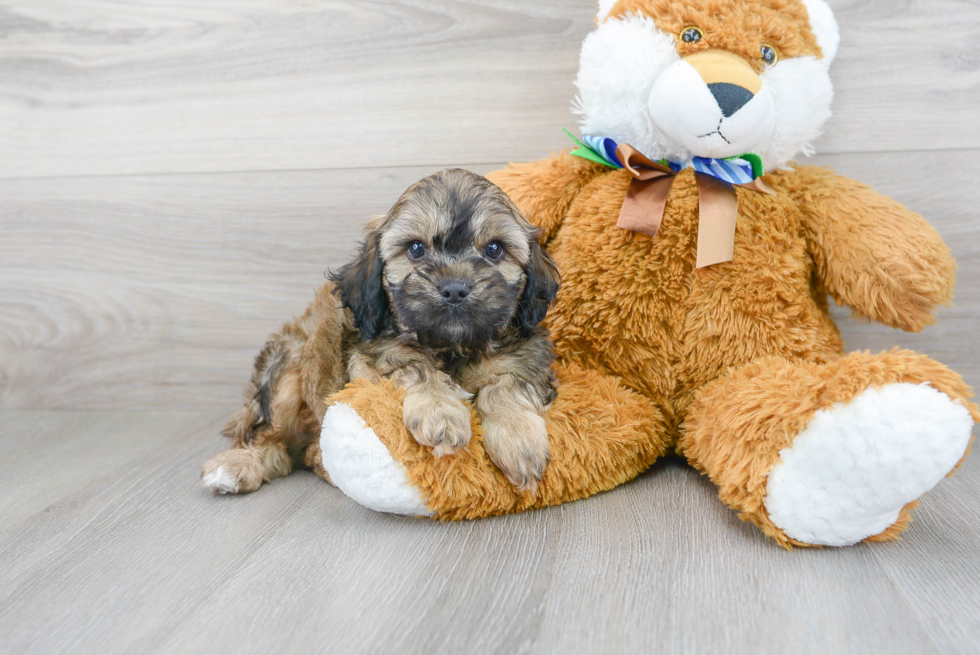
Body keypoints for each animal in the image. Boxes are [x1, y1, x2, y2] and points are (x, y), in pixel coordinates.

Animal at [201, 169, 560, 498]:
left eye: (495, 250)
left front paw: (519, 441)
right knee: (270, 440)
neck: (451, 347)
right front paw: (441, 412)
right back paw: (237, 465)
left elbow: (505, 385)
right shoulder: (377, 357)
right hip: (287, 370)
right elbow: (416, 368)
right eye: (416, 249)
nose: (455, 289)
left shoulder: (525, 359)